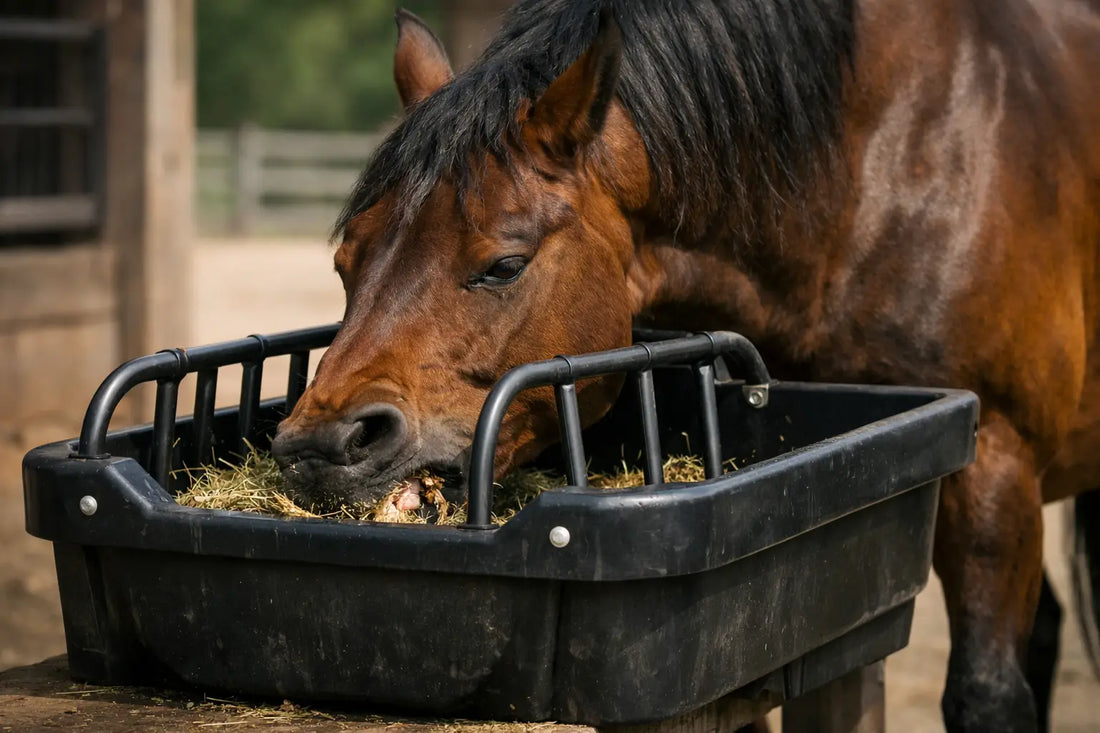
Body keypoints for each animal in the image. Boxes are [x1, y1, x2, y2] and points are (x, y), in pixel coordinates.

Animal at [269, 1, 1100, 730]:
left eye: (504, 264)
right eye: (346, 262)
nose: (321, 446)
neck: (874, 167)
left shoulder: (995, 464)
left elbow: (989, 693)